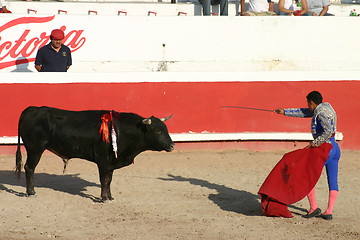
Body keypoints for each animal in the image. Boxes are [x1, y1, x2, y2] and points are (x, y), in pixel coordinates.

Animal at [15, 107, 174, 201]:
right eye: (157, 130)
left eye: (166, 128)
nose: (172, 146)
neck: (122, 130)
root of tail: (30, 109)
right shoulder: (102, 160)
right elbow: (104, 180)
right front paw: (103, 198)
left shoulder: (111, 162)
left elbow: (109, 180)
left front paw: (110, 197)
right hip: (35, 149)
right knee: (29, 168)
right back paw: (31, 192)